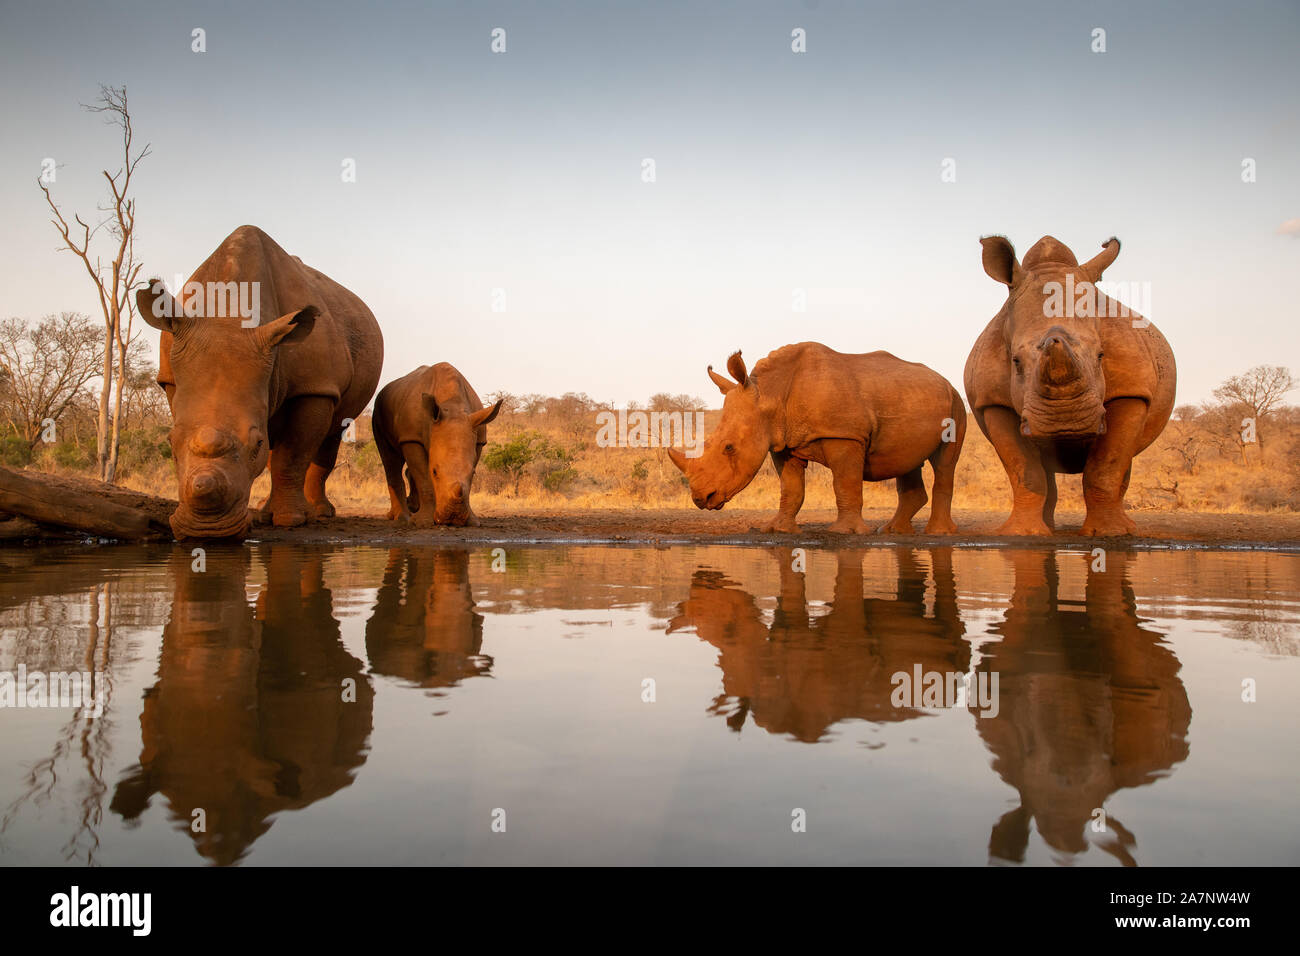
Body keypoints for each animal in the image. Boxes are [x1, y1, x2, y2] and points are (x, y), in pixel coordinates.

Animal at [138, 225, 379, 538]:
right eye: (169, 441)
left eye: (256, 443)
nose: (207, 531)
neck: (227, 314)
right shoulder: (171, 380)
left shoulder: (315, 386)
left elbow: (293, 453)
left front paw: (291, 521)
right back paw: (269, 511)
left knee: (331, 433)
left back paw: (317, 514)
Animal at [377, 361, 501, 528]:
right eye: (434, 472)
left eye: (473, 472)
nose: (452, 518)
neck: (453, 405)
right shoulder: (411, 437)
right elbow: (423, 477)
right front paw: (423, 523)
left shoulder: (479, 438)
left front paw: (473, 522)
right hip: (380, 410)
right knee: (389, 459)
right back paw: (402, 518)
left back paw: (412, 509)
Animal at [670, 343, 967, 538]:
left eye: (729, 447)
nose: (700, 499)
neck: (770, 392)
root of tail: (945, 380)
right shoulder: (783, 442)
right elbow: (791, 488)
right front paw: (778, 529)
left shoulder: (843, 434)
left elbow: (845, 483)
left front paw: (845, 532)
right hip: (916, 398)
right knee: (907, 460)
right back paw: (893, 531)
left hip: (956, 404)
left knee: (945, 463)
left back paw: (938, 534)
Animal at [967, 234, 1180, 535]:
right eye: (1015, 361)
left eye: (1101, 356)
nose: (1066, 423)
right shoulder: (992, 401)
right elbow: (1024, 469)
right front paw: (1024, 534)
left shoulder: (1132, 392)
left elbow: (1106, 466)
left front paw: (1109, 533)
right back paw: (1049, 528)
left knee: (1125, 459)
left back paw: (1128, 527)